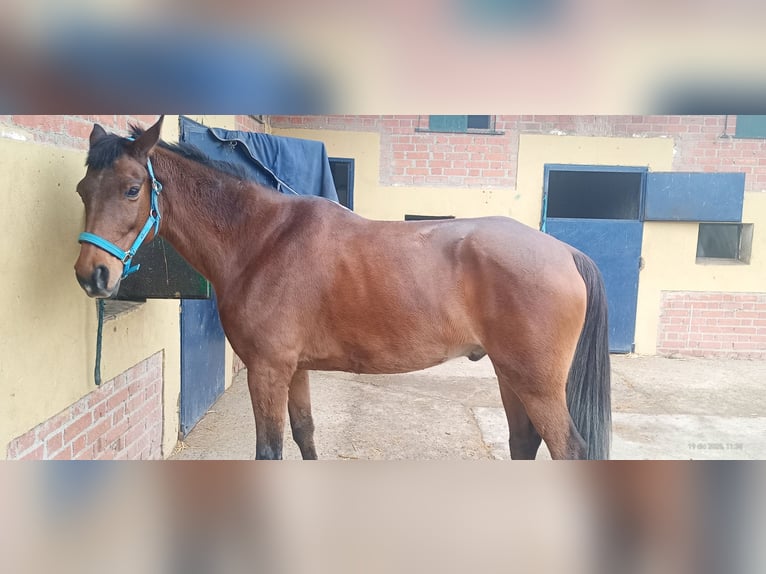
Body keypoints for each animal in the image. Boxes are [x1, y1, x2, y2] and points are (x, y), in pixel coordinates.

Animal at [74, 116, 611, 460]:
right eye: (83, 190)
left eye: (132, 189)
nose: (91, 274)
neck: (262, 240)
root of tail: (565, 252)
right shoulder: (293, 370)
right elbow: (305, 436)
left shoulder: (266, 371)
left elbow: (270, 450)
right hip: (509, 374)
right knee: (523, 443)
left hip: (536, 383)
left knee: (567, 449)